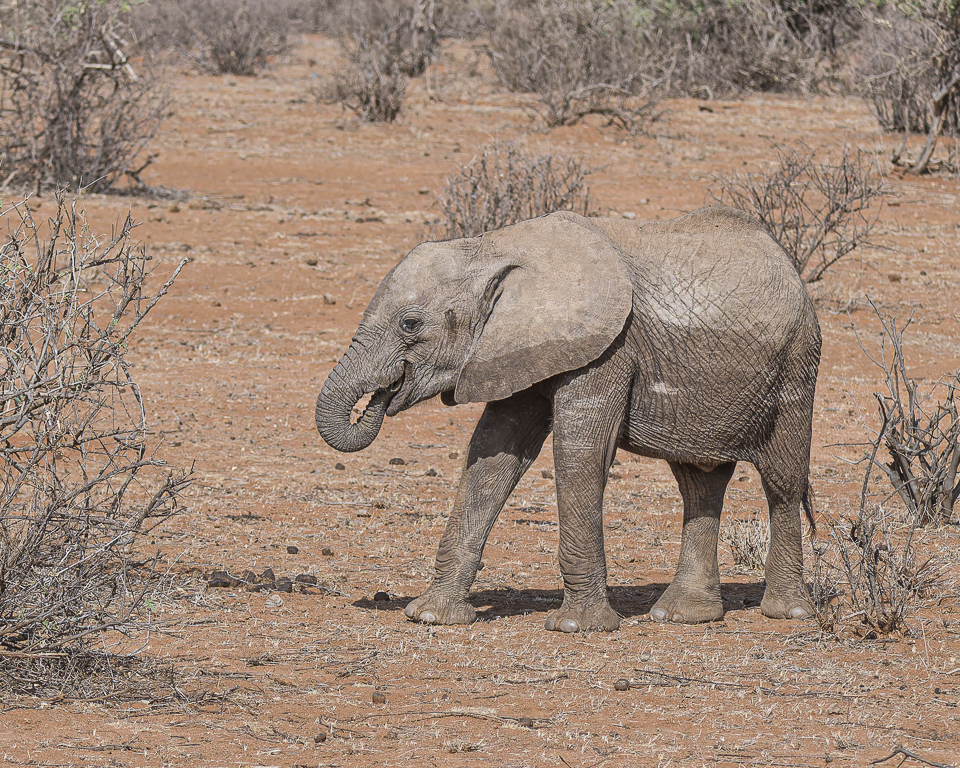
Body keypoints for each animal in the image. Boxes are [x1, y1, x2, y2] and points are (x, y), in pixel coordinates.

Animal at [314, 207, 816, 632]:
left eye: (411, 324)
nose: (380, 398)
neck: (495, 247)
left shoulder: (609, 347)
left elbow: (579, 453)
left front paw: (577, 626)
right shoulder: (517, 347)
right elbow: (493, 454)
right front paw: (432, 616)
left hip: (796, 365)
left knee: (782, 482)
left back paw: (786, 613)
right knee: (700, 482)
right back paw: (683, 617)